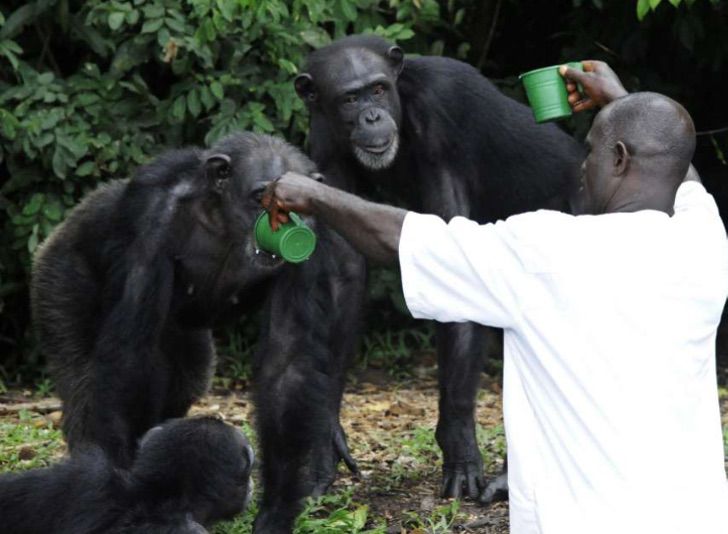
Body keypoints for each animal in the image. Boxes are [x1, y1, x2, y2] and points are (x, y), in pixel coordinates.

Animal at [31, 132, 366, 532]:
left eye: (292, 204)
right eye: (261, 196)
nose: (280, 229)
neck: (223, 221)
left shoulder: (313, 233)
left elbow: (287, 360)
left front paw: (278, 510)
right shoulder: (150, 216)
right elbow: (130, 350)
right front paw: (117, 479)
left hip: (186, 339)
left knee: (184, 378)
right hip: (59, 277)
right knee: (84, 371)